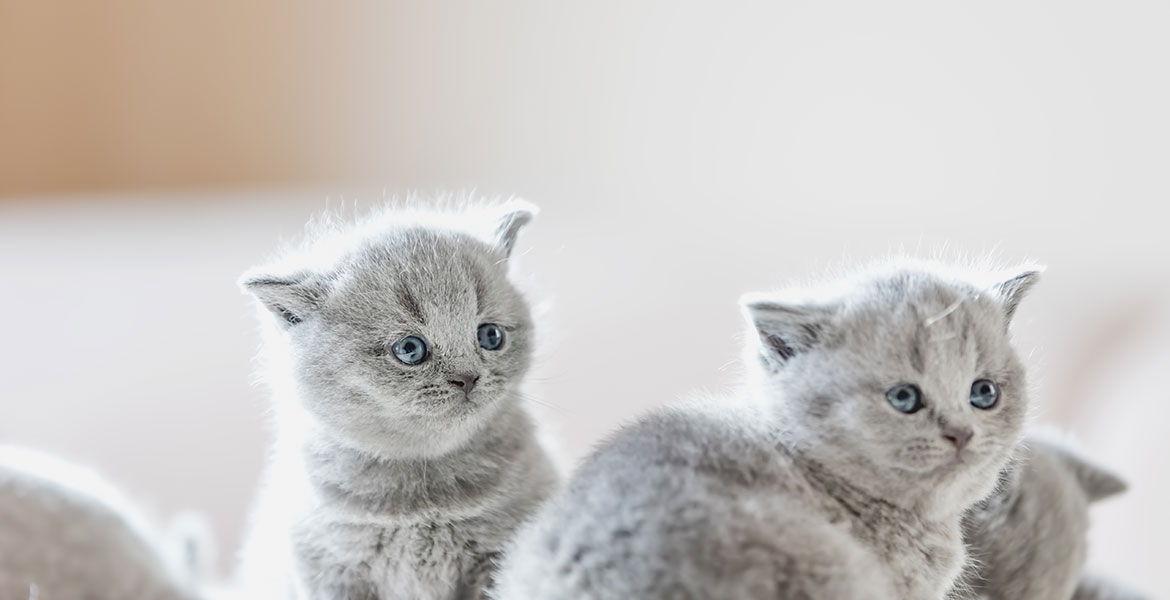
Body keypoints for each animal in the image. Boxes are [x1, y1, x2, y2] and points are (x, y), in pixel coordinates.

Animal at [236, 198, 556, 596]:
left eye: (491, 336)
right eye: (409, 349)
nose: (468, 378)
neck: (422, 491)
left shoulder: (500, 554)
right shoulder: (329, 568)